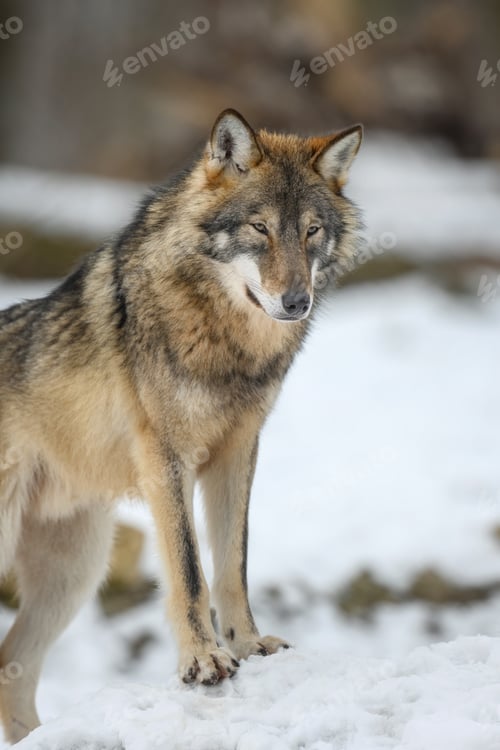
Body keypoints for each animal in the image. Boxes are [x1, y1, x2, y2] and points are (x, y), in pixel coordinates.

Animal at [0, 109, 362, 742]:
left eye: (311, 231)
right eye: (260, 229)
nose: (297, 302)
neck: (225, 341)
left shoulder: (238, 451)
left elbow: (233, 564)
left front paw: (248, 645)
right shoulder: (166, 457)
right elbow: (190, 570)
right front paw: (203, 660)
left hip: (74, 574)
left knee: (10, 665)